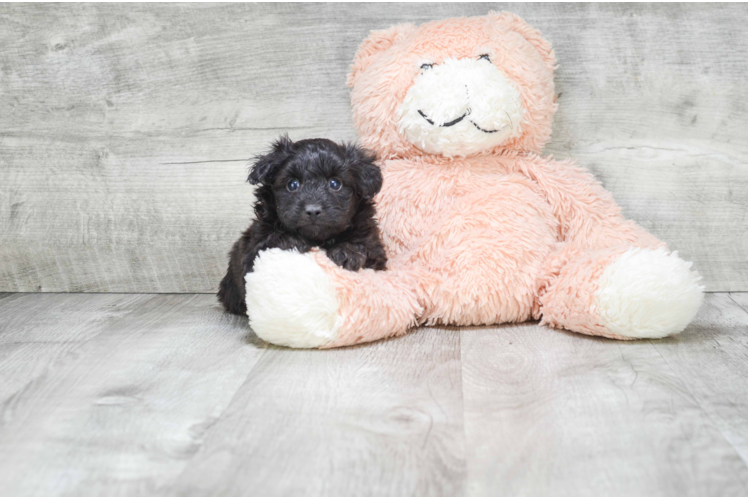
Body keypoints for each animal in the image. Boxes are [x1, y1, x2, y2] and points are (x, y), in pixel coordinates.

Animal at [218, 135, 386, 314]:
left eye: (335, 184)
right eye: (292, 185)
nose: (313, 210)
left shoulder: (374, 249)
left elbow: (365, 249)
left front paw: (347, 252)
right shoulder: (253, 250)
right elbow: (267, 243)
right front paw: (291, 240)